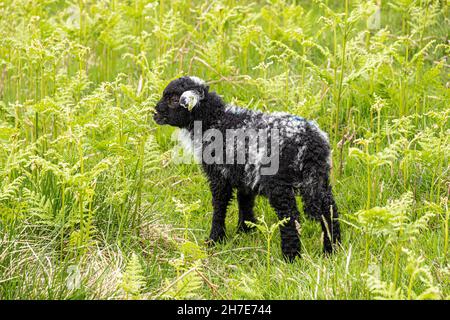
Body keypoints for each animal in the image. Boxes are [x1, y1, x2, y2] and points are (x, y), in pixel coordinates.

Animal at [155, 76, 342, 262]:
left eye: (174, 100)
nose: (154, 113)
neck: (215, 120)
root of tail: (311, 142)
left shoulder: (219, 176)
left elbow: (219, 205)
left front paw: (214, 239)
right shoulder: (245, 174)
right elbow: (245, 201)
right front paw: (246, 229)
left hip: (279, 183)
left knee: (290, 215)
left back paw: (290, 256)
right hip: (319, 177)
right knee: (329, 208)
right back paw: (332, 249)